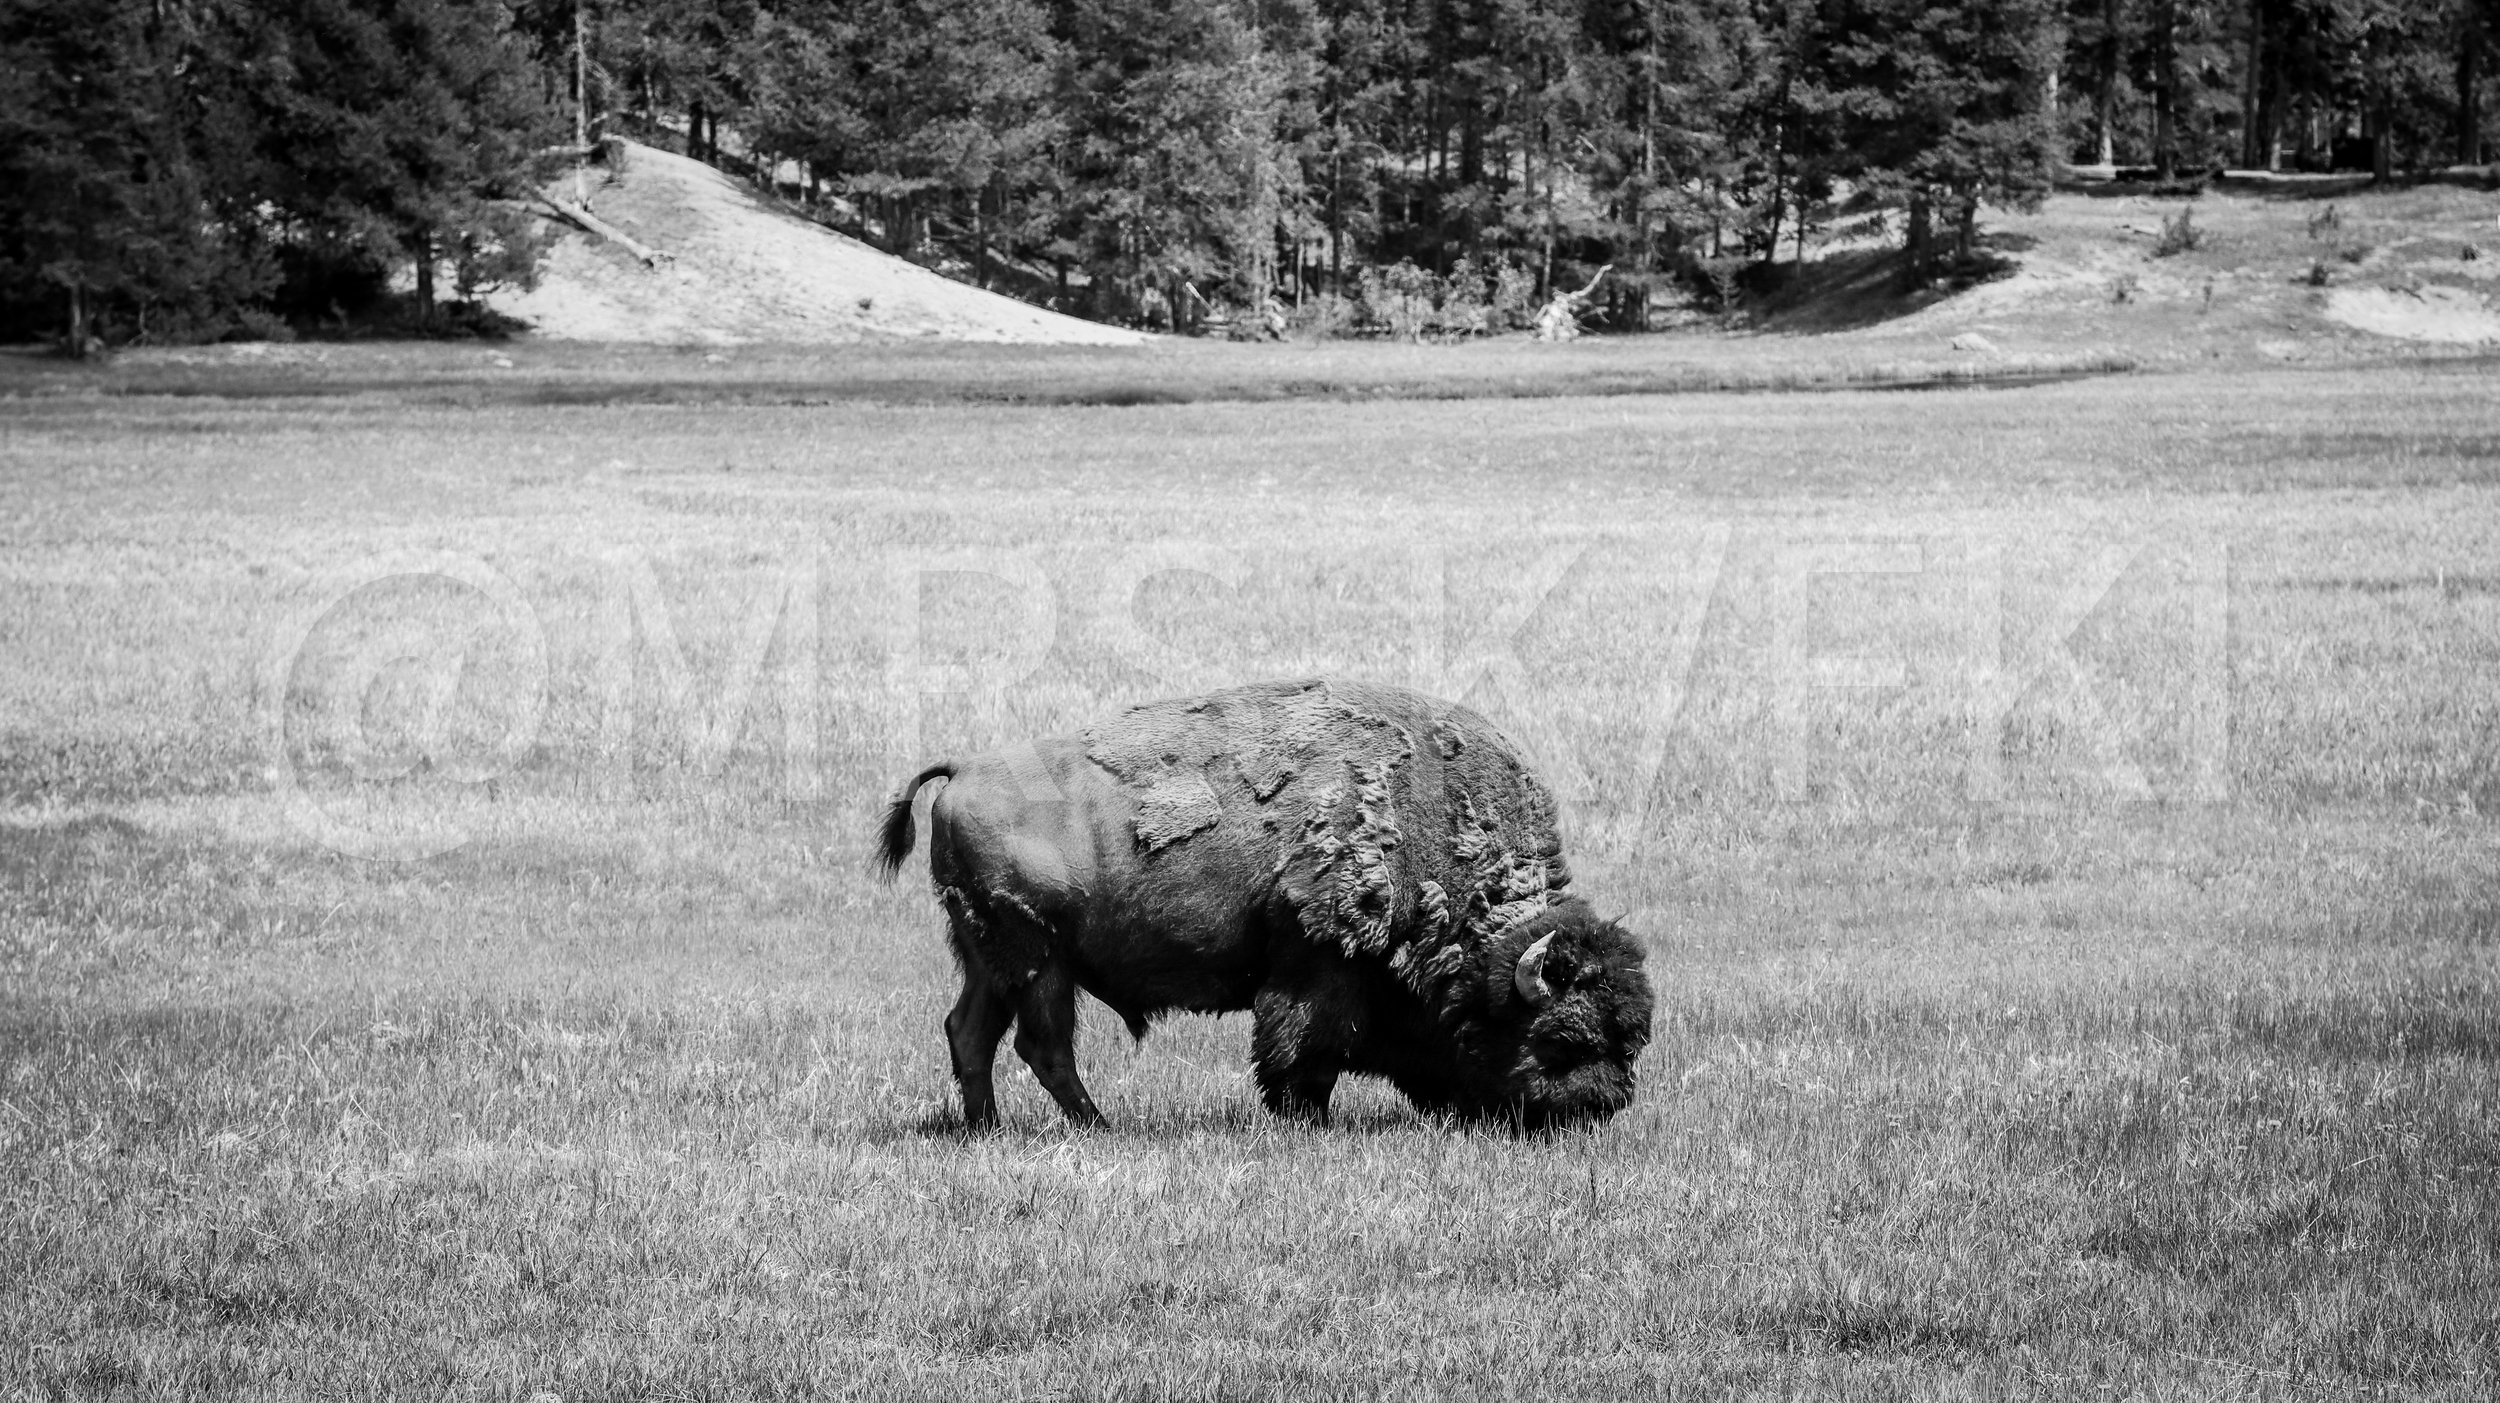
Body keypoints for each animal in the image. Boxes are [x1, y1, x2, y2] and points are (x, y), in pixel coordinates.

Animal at [874, 677, 1653, 1130]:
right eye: (1560, 1040)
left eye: (1632, 1038)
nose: (1601, 1108)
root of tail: (965, 769)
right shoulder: (1316, 965)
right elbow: (1303, 1046)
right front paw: (1304, 1118)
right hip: (1035, 956)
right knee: (1041, 1043)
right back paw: (1098, 1126)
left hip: (994, 958)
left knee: (971, 1032)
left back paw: (989, 1128)